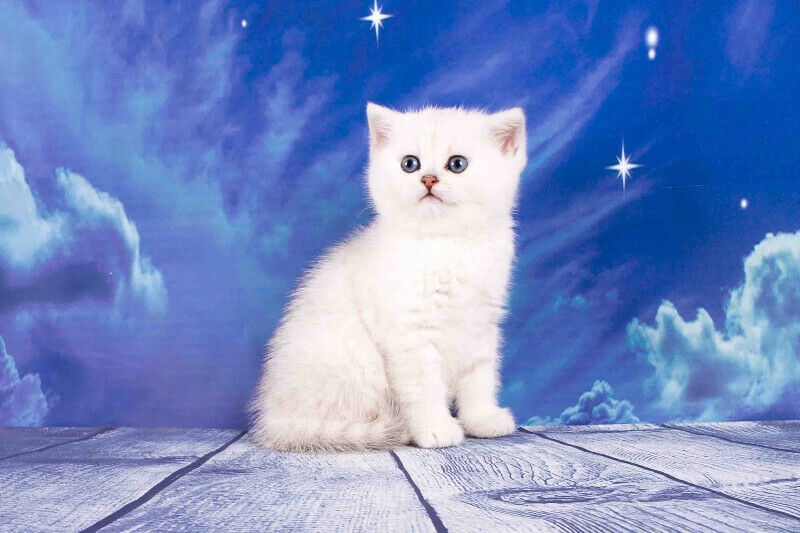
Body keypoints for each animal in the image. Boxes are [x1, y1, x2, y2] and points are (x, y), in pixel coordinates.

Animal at [250, 102, 527, 452]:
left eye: (457, 164)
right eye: (410, 164)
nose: (428, 178)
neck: (445, 244)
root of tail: (274, 418)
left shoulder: (481, 323)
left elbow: (480, 376)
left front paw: (483, 418)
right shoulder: (409, 333)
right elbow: (425, 386)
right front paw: (436, 428)